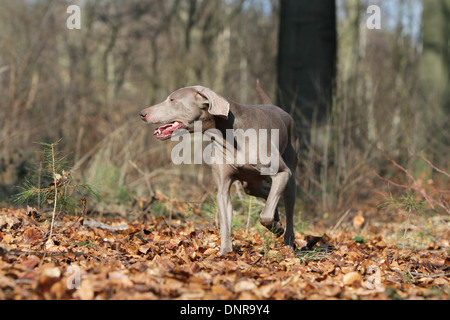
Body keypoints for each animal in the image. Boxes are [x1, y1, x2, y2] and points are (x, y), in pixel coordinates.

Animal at [140, 84, 298, 254]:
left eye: (172, 100)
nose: (142, 113)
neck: (228, 134)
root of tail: (278, 109)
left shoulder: (282, 173)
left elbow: (265, 216)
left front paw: (276, 227)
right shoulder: (222, 188)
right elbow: (225, 217)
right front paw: (225, 251)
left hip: (290, 175)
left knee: (287, 204)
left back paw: (288, 241)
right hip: (251, 183)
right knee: (267, 192)